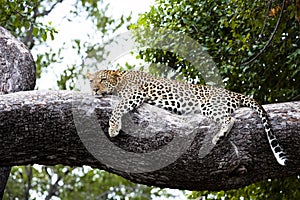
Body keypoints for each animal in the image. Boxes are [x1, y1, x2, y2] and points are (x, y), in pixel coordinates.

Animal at [85, 69, 288, 166]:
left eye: (103, 80)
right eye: (92, 81)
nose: (94, 89)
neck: (120, 79)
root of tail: (234, 93)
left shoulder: (135, 93)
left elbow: (117, 108)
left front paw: (113, 128)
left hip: (208, 105)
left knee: (230, 118)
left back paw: (219, 136)